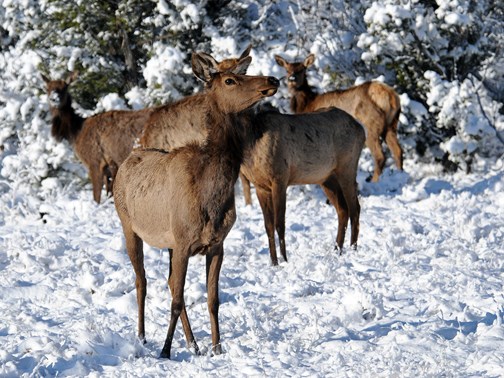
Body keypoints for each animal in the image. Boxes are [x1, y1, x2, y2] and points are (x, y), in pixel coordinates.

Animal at [42, 73, 153, 204]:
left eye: (64, 87)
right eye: (47, 89)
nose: (54, 99)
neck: (75, 133)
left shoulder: (94, 161)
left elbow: (96, 197)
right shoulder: (108, 169)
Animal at [113, 52, 278, 358]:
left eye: (243, 72)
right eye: (230, 80)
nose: (272, 80)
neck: (211, 194)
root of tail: (127, 160)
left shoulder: (215, 244)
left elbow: (212, 299)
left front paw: (217, 347)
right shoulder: (183, 241)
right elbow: (178, 299)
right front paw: (166, 350)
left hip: (168, 243)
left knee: (168, 282)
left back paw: (193, 343)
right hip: (129, 226)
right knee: (142, 281)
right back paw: (142, 336)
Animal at [274, 54, 404, 182]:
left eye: (302, 69)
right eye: (287, 70)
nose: (292, 79)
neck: (307, 104)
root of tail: (390, 96)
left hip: (370, 125)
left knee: (380, 156)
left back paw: (375, 181)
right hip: (392, 124)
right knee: (398, 150)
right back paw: (400, 174)